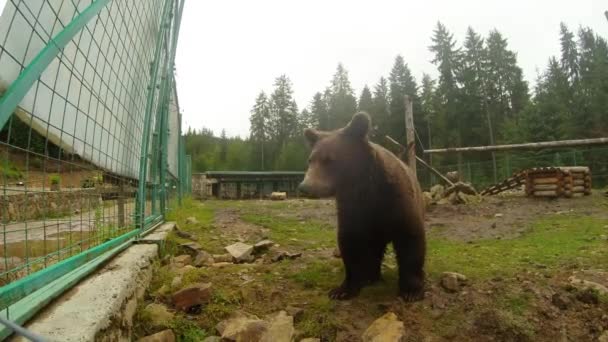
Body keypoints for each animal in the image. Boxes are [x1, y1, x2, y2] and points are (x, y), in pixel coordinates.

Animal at [296, 111, 426, 300]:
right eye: (310, 160)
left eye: (329, 160)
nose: (305, 187)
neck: (364, 187)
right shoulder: (352, 207)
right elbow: (351, 242)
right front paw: (342, 289)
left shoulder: (396, 201)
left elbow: (410, 238)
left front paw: (411, 291)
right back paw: (372, 275)